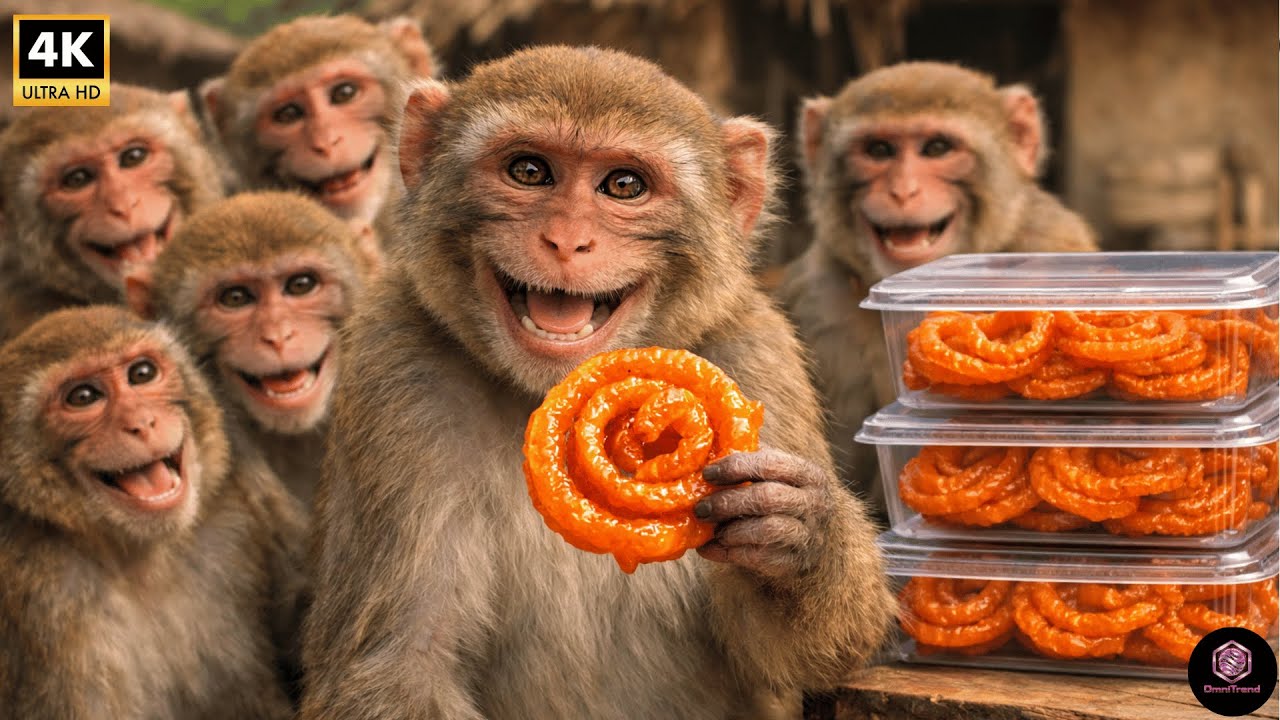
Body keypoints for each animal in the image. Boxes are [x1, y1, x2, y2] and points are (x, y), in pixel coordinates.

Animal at [0, 305, 308, 719]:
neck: (140, 558)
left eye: (142, 374)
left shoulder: (241, 465)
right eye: (83, 396)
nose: (142, 423)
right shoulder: (41, 595)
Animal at [299, 46, 896, 720]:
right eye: (529, 171)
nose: (566, 240)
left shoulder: (757, 358)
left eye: (624, 185)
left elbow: (793, 653)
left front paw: (800, 539)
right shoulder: (395, 368)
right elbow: (397, 663)